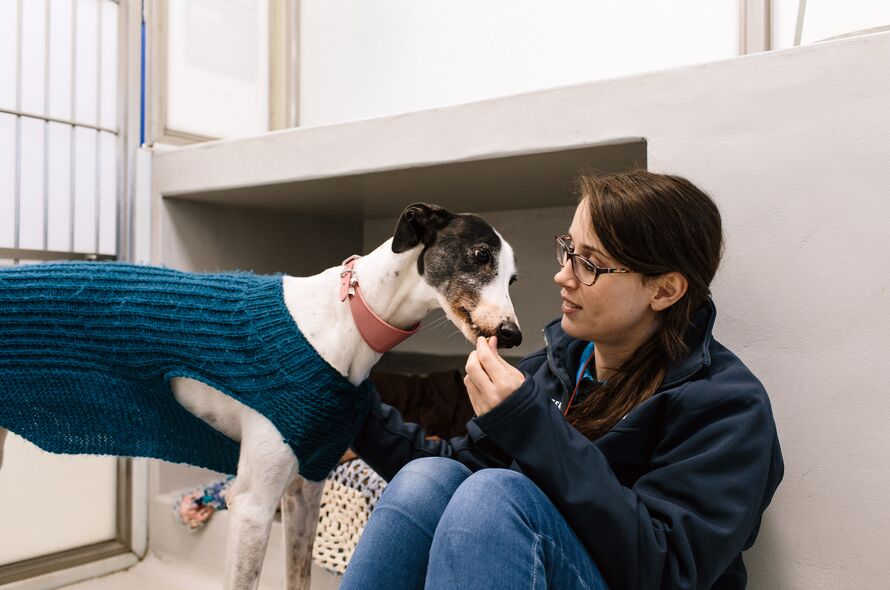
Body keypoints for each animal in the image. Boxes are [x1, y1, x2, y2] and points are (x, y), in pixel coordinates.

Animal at [0, 205, 520, 590]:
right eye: (479, 255)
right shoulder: (252, 504)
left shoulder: (305, 489)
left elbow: (298, 576)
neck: (346, 318)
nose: (514, 335)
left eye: (514, 279)